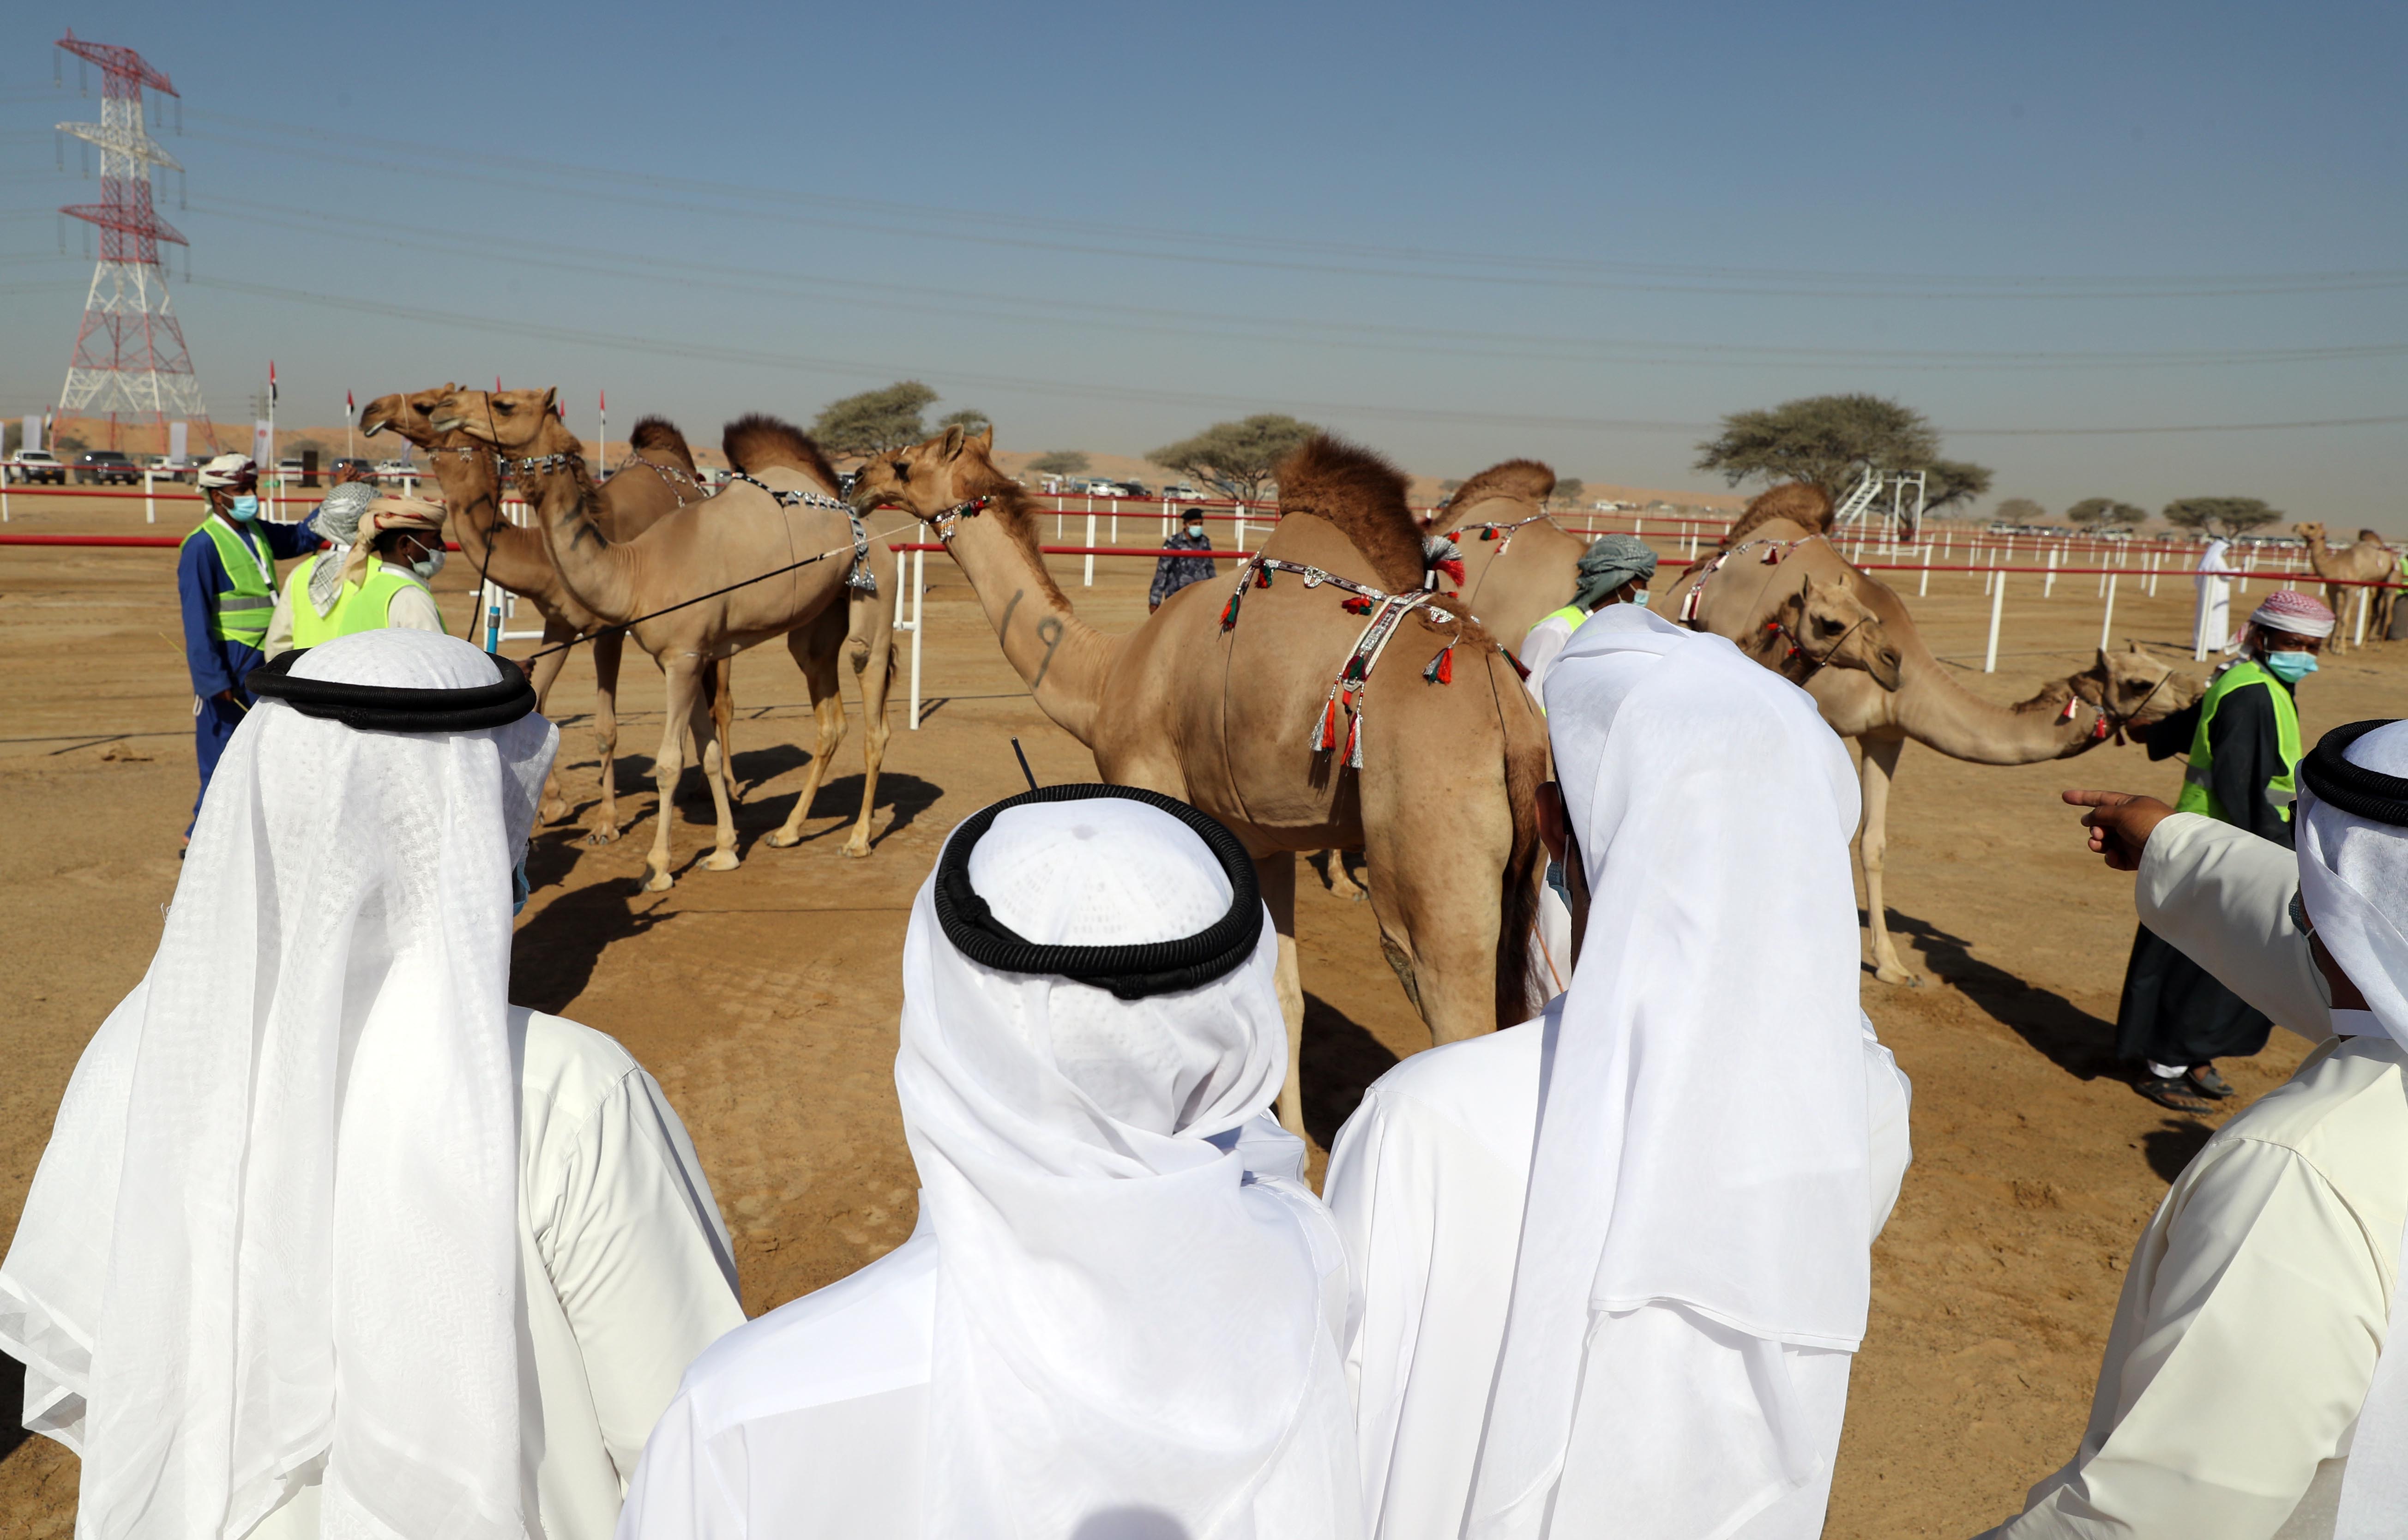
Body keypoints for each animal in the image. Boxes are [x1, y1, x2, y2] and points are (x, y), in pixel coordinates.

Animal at [356, 380, 727, 828]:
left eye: (426, 405)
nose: (371, 410)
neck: (542, 555)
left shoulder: (606, 631)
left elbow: (605, 728)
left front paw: (606, 821)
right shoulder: (559, 623)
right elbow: (539, 700)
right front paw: (553, 805)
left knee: (722, 698)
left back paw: (722, 788)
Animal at [428, 387, 900, 890]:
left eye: (505, 405)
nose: (444, 408)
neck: (636, 572)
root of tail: (870, 529)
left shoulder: (684, 657)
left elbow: (671, 762)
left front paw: (656, 868)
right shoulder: (685, 657)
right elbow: (707, 751)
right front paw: (725, 850)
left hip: (875, 595)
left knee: (873, 713)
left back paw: (858, 839)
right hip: (817, 623)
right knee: (828, 716)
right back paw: (788, 831)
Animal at [857, 421, 1551, 1131]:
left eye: (905, 464)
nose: (858, 480)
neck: (1105, 679)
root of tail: (1511, 718)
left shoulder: (1152, 785)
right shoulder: (1264, 838)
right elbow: (1282, 997)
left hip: (1431, 847)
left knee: (1445, 998)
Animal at [1676, 505, 2205, 987]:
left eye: (2163, 666)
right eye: (2139, 682)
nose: (2195, 693)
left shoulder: (1886, 735)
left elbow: (1873, 844)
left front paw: (1891, 965)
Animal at [2292, 519, 2389, 644]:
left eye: (2312, 527)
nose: (2295, 526)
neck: (2335, 567)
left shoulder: (2351, 590)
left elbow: (2345, 618)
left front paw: (2341, 647)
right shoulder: (2332, 590)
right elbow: (2336, 616)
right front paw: (2330, 645)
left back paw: (2377, 644)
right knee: (2378, 613)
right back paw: (2365, 643)